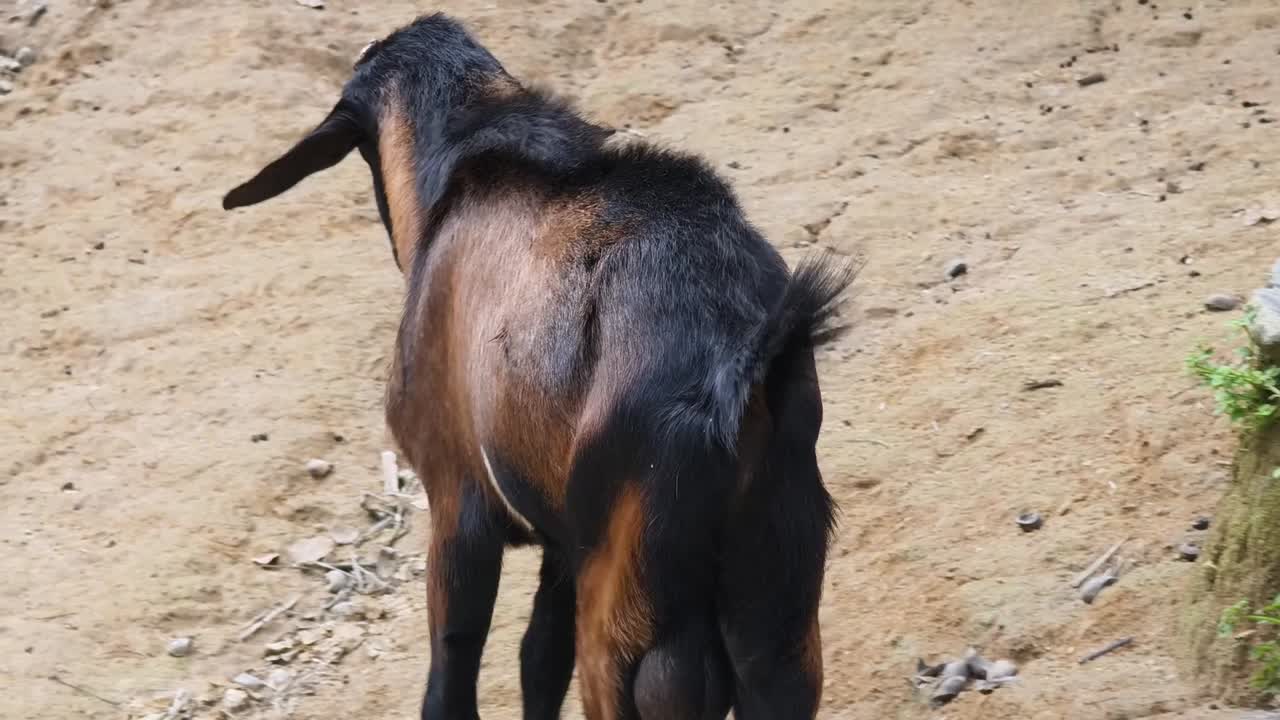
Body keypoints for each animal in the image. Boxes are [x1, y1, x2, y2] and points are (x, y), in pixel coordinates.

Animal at [221, 13, 854, 720]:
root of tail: (737, 361)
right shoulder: (560, 543)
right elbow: (539, 659)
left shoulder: (457, 504)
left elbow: (453, 671)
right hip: (774, 600)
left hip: (626, 610)